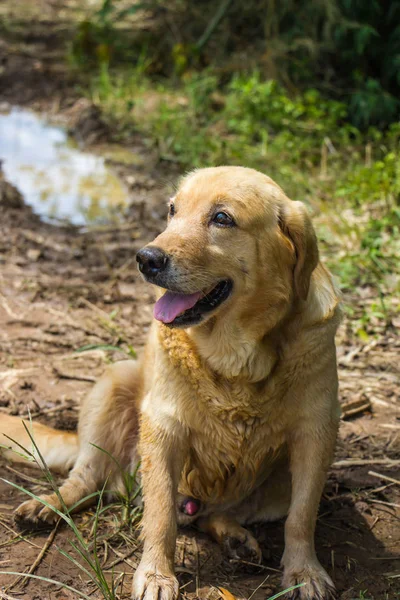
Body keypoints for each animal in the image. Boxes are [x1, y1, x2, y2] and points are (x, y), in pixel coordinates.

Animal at [1, 168, 342, 600]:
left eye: (222, 218)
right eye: (172, 210)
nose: (146, 259)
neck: (238, 360)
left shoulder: (316, 434)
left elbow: (302, 517)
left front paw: (304, 572)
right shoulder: (164, 429)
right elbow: (160, 516)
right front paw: (156, 575)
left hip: (275, 485)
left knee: (214, 515)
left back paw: (235, 538)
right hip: (112, 386)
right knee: (87, 478)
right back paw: (46, 504)